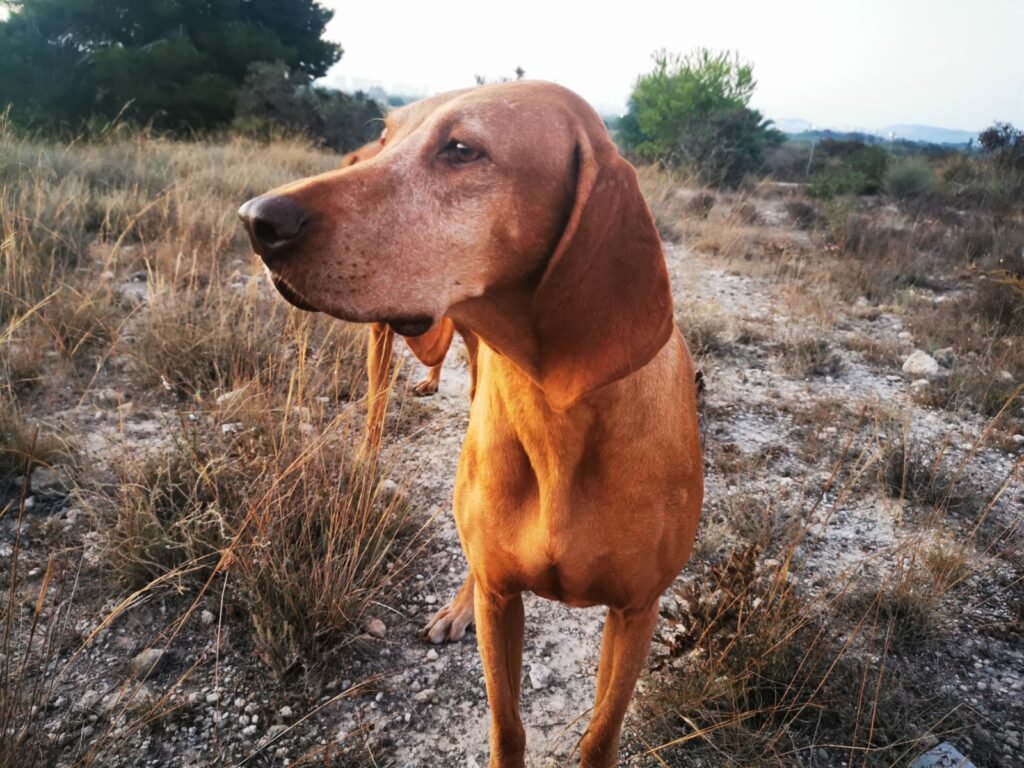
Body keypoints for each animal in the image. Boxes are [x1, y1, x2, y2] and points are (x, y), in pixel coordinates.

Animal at [239, 82, 704, 768]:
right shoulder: (503, 601)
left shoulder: (635, 613)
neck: (557, 415)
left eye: (462, 149)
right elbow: (506, 727)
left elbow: (600, 737)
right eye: (385, 137)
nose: (255, 220)